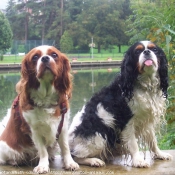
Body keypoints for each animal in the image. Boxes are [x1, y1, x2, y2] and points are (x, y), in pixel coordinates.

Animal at [0, 45, 78, 174]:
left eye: (54, 55)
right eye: (35, 57)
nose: (45, 58)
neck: (46, 97)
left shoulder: (62, 126)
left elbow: (65, 147)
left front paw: (69, 163)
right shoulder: (34, 130)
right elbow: (42, 150)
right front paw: (43, 166)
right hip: (6, 148)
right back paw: (15, 161)